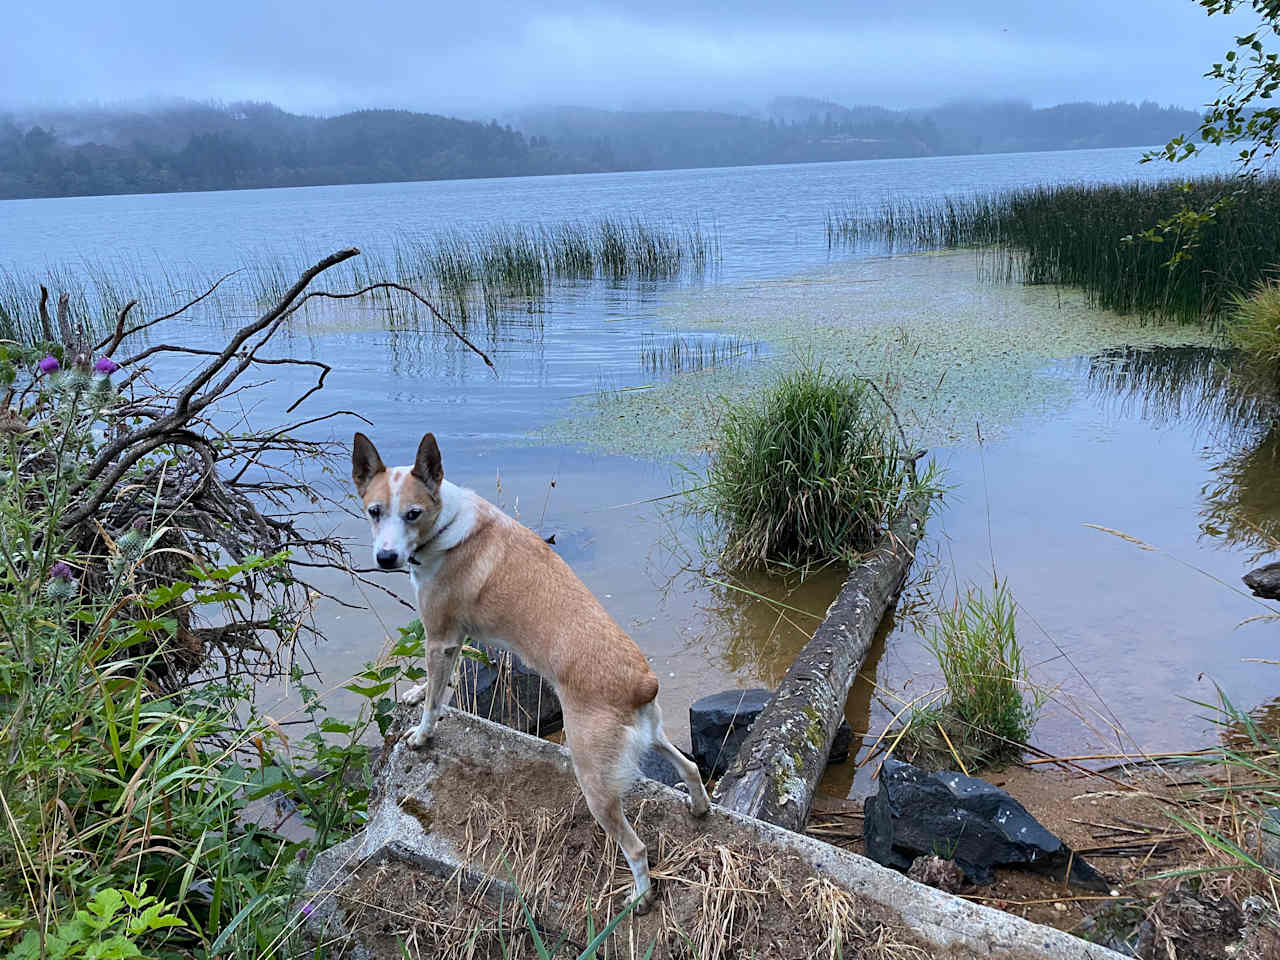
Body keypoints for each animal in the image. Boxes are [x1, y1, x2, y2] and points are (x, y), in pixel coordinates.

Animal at [353, 432, 711, 911]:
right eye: (375, 511)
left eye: (413, 513)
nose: (387, 557)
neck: (447, 526)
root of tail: (641, 682)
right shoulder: (456, 639)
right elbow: (441, 684)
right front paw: (415, 692)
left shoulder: (439, 636)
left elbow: (433, 702)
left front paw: (423, 734)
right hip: (650, 736)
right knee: (688, 767)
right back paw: (699, 807)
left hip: (595, 781)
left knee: (636, 848)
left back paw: (640, 897)